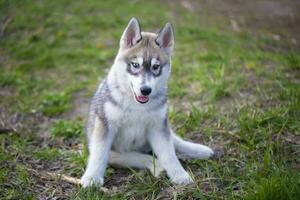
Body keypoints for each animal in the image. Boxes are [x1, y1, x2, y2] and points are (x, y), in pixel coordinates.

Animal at [81, 17, 214, 188]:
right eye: (135, 65)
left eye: (156, 67)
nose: (145, 90)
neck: (137, 104)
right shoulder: (105, 126)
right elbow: (99, 154)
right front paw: (92, 178)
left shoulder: (158, 127)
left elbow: (169, 154)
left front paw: (179, 174)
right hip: (115, 153)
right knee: (135, 156)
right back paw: (157, 166)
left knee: (175, 142)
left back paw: (199, 150)